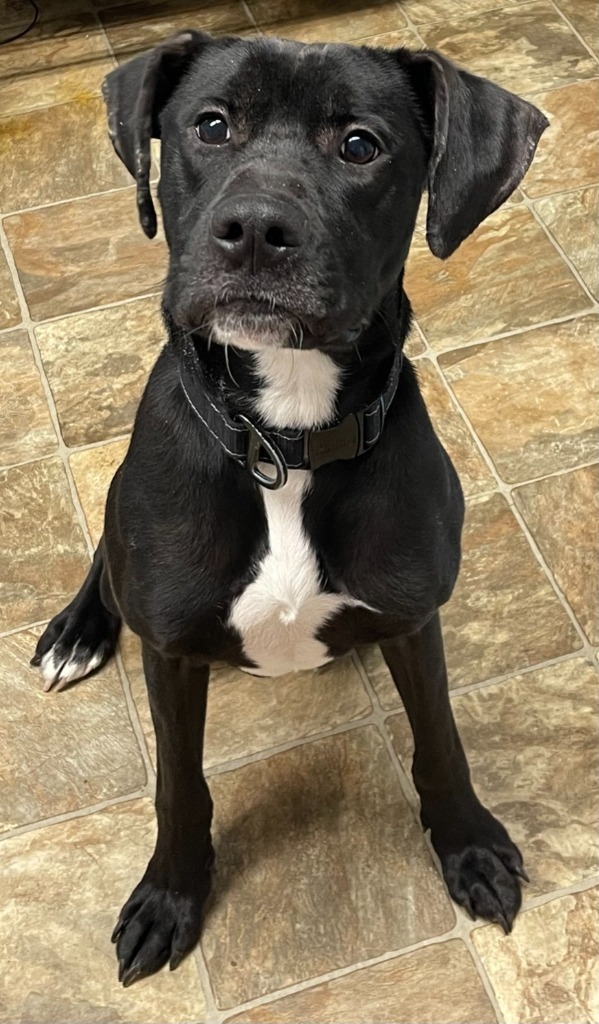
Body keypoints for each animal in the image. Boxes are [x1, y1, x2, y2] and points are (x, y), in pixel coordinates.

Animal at [31, 32, 544, 987]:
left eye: (360, 145)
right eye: (210, 126)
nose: (256, 230)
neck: (286, 438)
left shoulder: (414, 619)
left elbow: (439, 741)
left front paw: (469, 848)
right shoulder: (169, 651)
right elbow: (178, 785)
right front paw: (168, 896)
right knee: (104, 557)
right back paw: (77, 629)